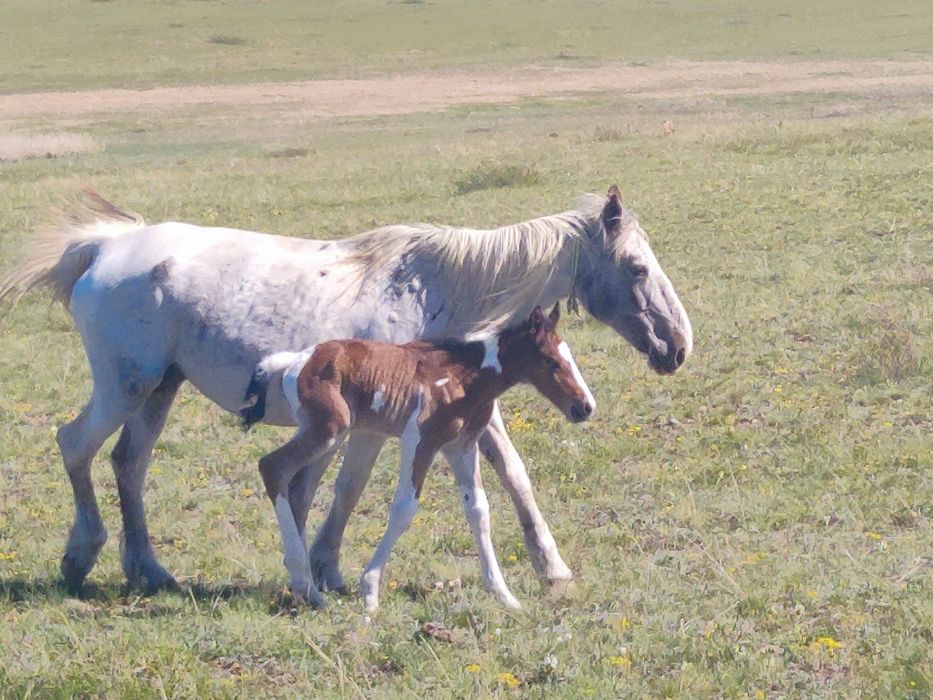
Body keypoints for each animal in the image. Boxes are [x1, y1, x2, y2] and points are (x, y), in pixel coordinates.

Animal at [242, 304, 594, 610]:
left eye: (569, 358)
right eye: (552, 362)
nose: (585, 407)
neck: (465, 377)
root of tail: (296, 360)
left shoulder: (462, 446)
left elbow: (479, 511)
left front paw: (503, 594)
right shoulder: (420, 439)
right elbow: (404, 510)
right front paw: (370, 591)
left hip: (328, 434)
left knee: (295, 488)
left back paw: (309, 589)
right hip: (328, 430)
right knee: (272, 467)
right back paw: (306, 584)